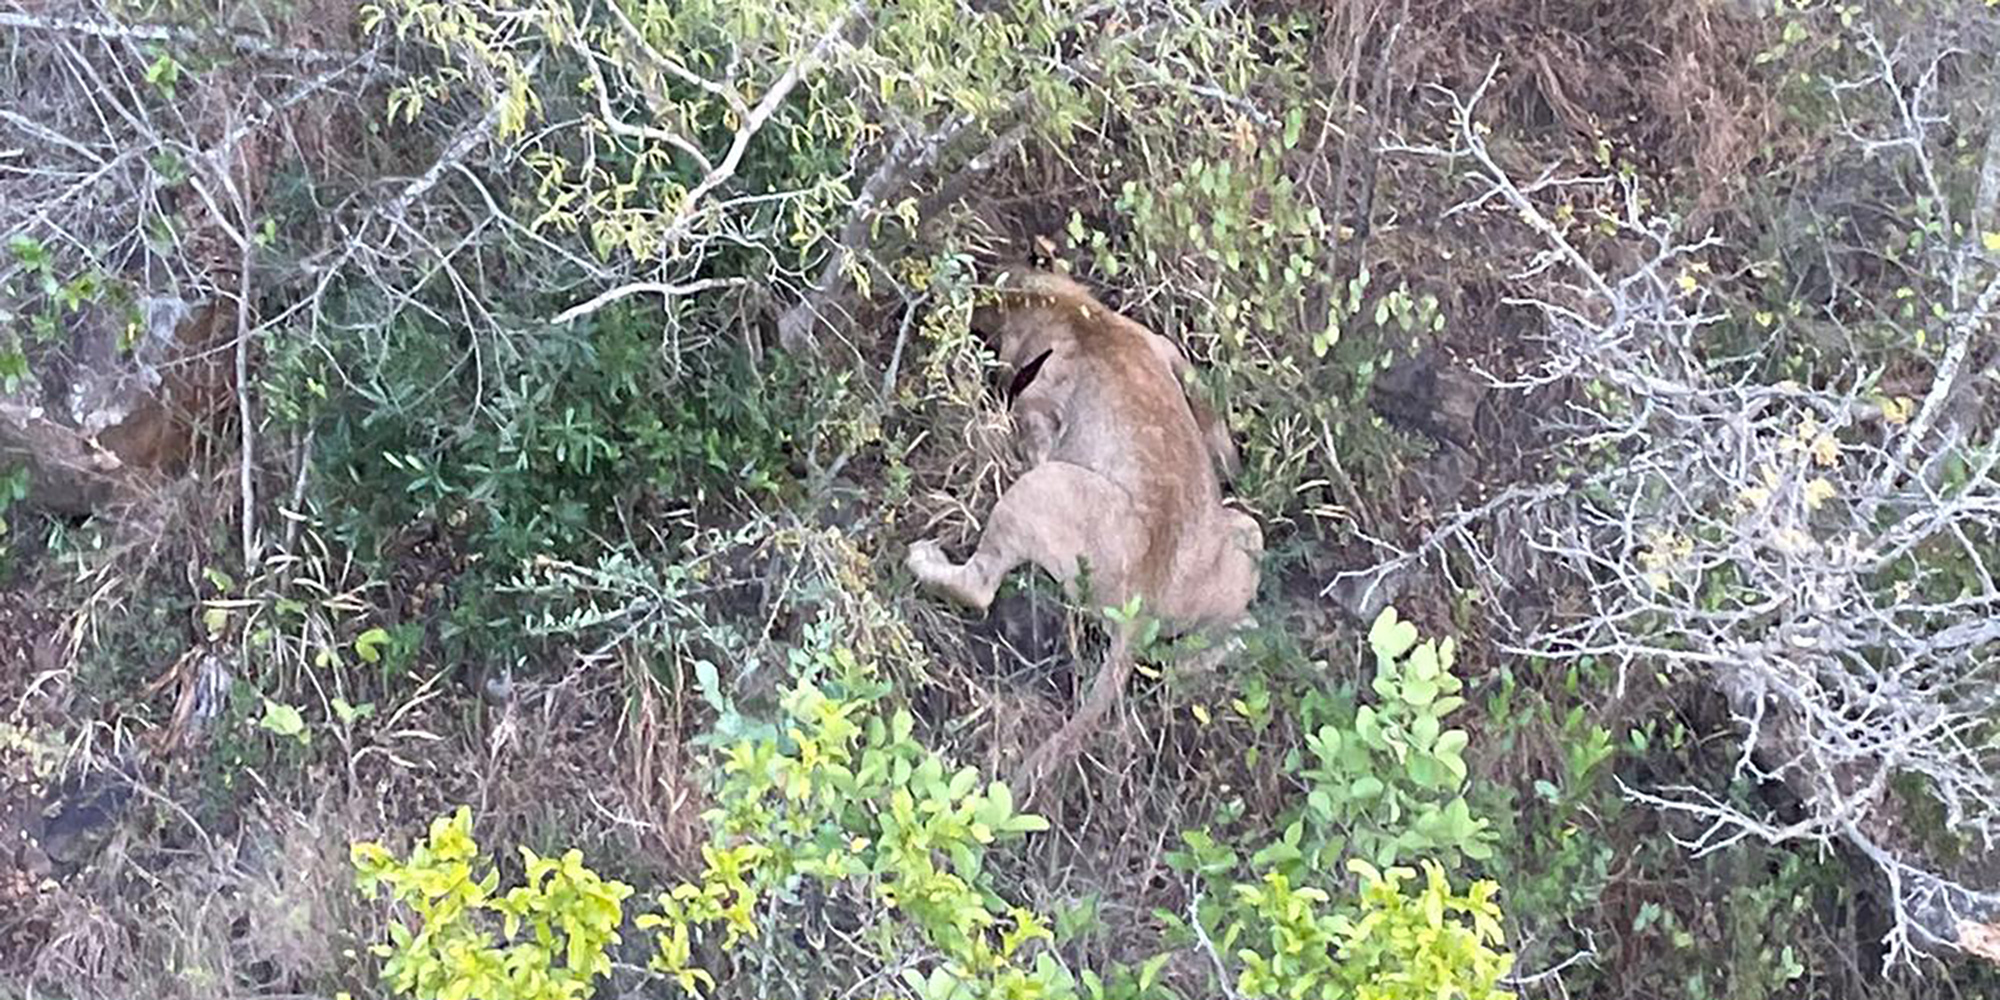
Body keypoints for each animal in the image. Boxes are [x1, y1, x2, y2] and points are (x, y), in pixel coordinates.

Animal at [906, 266, 1263, 795]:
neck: (1079, 316)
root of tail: (1143, 603)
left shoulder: (1040, 408)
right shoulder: (1165, 349)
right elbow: (1214, 421)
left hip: (1045, 487)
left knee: (979, 586)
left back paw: (924, 560)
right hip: (1246, 530)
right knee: (1236, 634)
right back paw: (1186, 665)